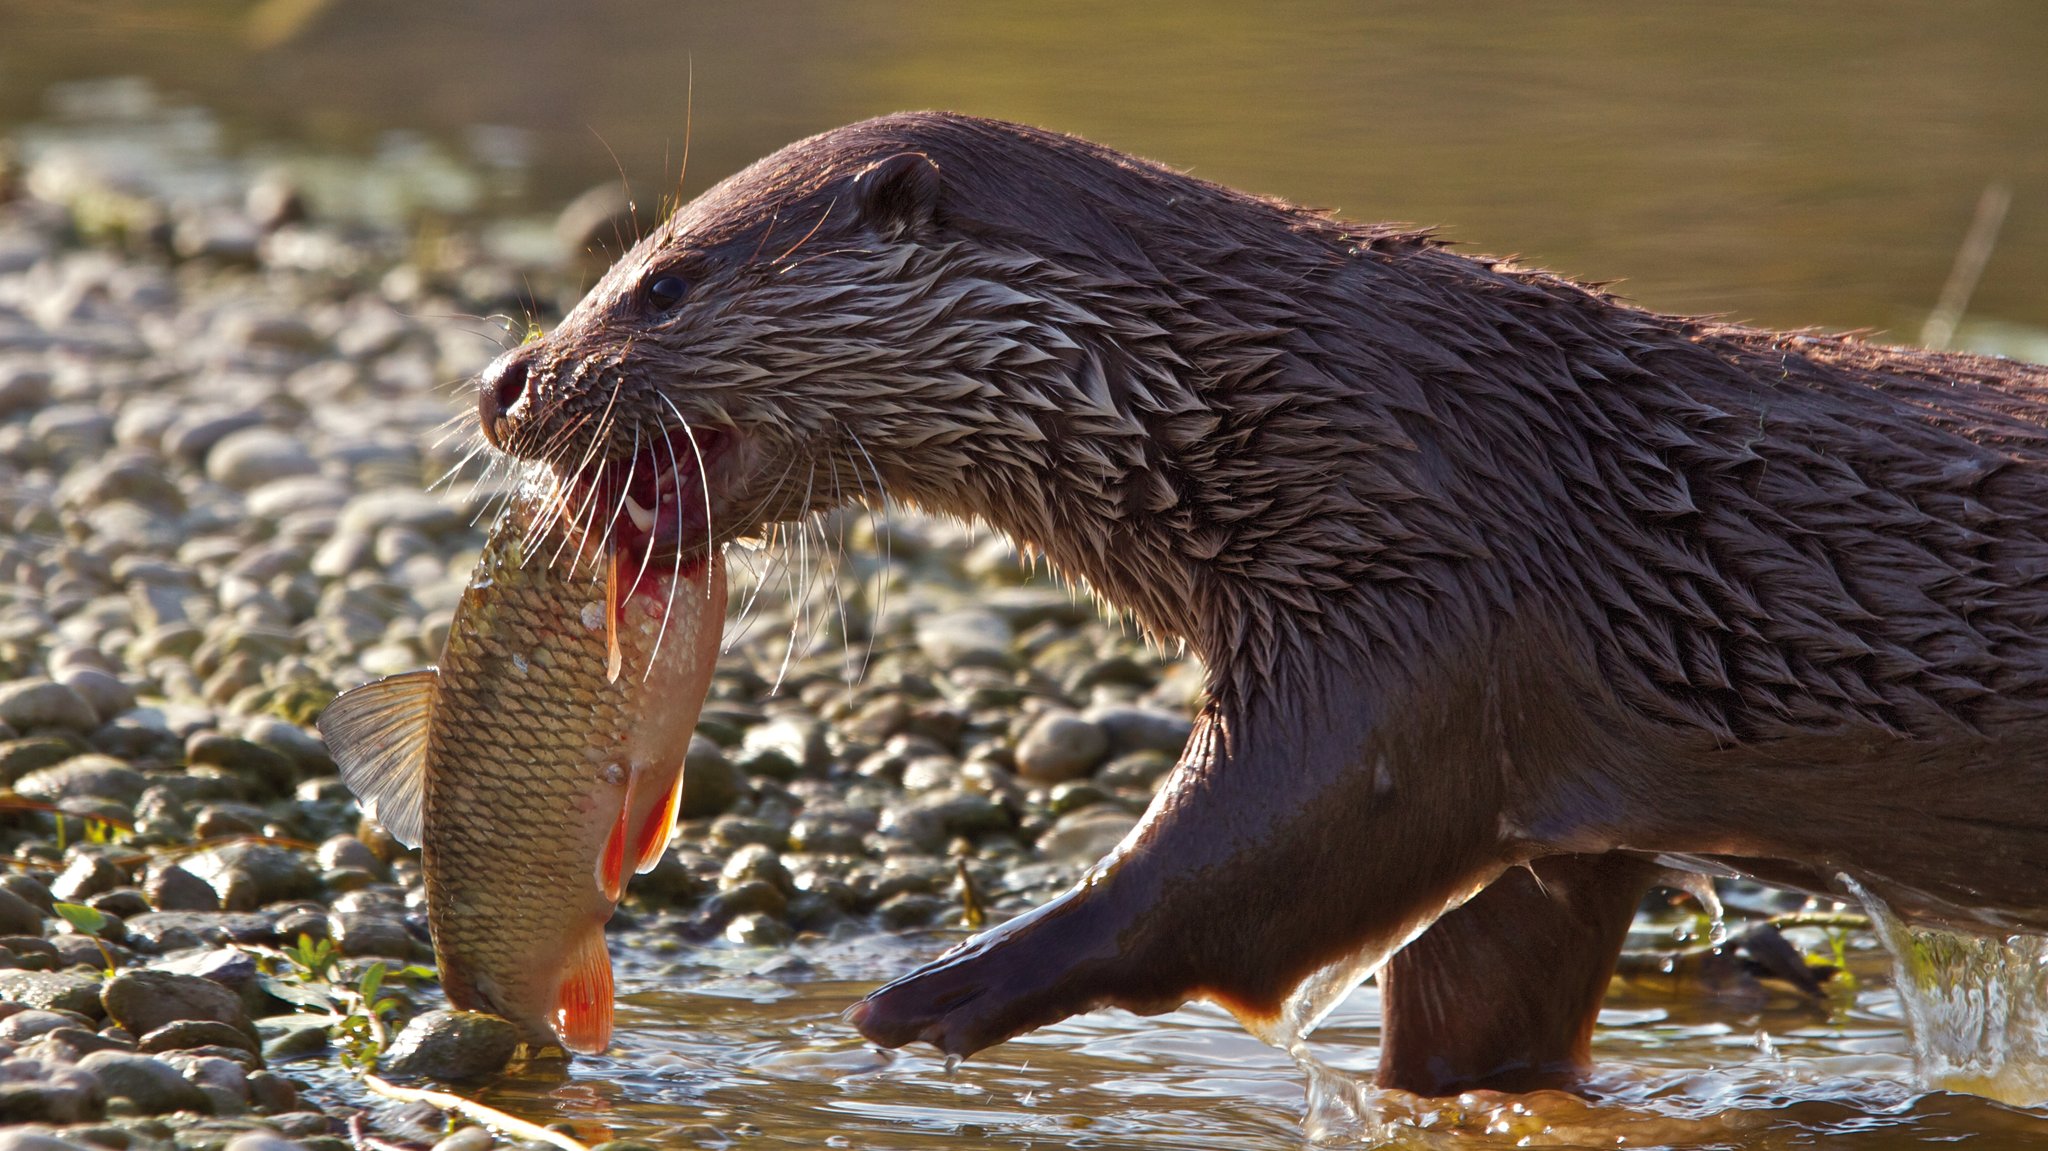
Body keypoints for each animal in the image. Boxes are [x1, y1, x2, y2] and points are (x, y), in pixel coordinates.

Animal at [471, 112, 2048, 1089]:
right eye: (619, 259)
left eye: (666, 283)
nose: (507, 377)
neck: (1307, 420)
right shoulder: (1534, 791)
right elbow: (1481, 994)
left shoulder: (1417, 628)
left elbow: (1243, 865)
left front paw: (944, 986)